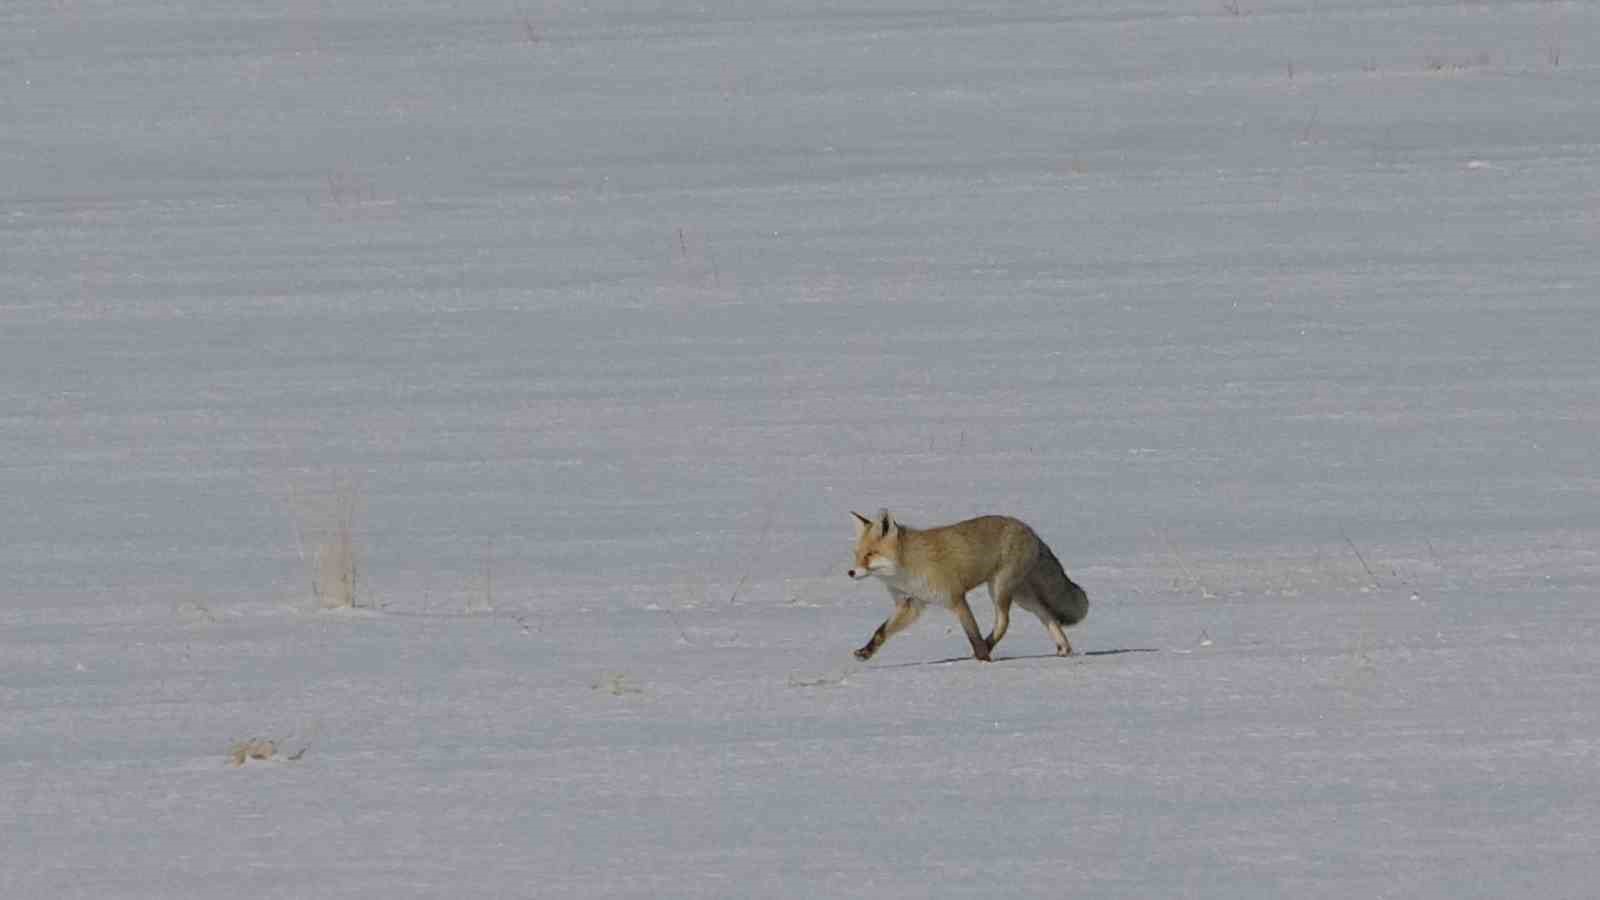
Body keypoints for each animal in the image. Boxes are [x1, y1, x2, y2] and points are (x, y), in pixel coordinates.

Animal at [847, 509, 1088, 662]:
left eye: (870, 555)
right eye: (857, 555)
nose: (851, 573)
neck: (907, 566)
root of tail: (1031, 531)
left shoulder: (956, 598)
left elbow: (972, 633)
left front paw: (983, 659)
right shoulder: (911, 604)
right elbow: (881, 631)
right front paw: (865, 652)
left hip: (999, 589)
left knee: (1004, 622)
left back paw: (988, 647)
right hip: (1022, 596)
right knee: (1046, 613)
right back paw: (1063, 648)